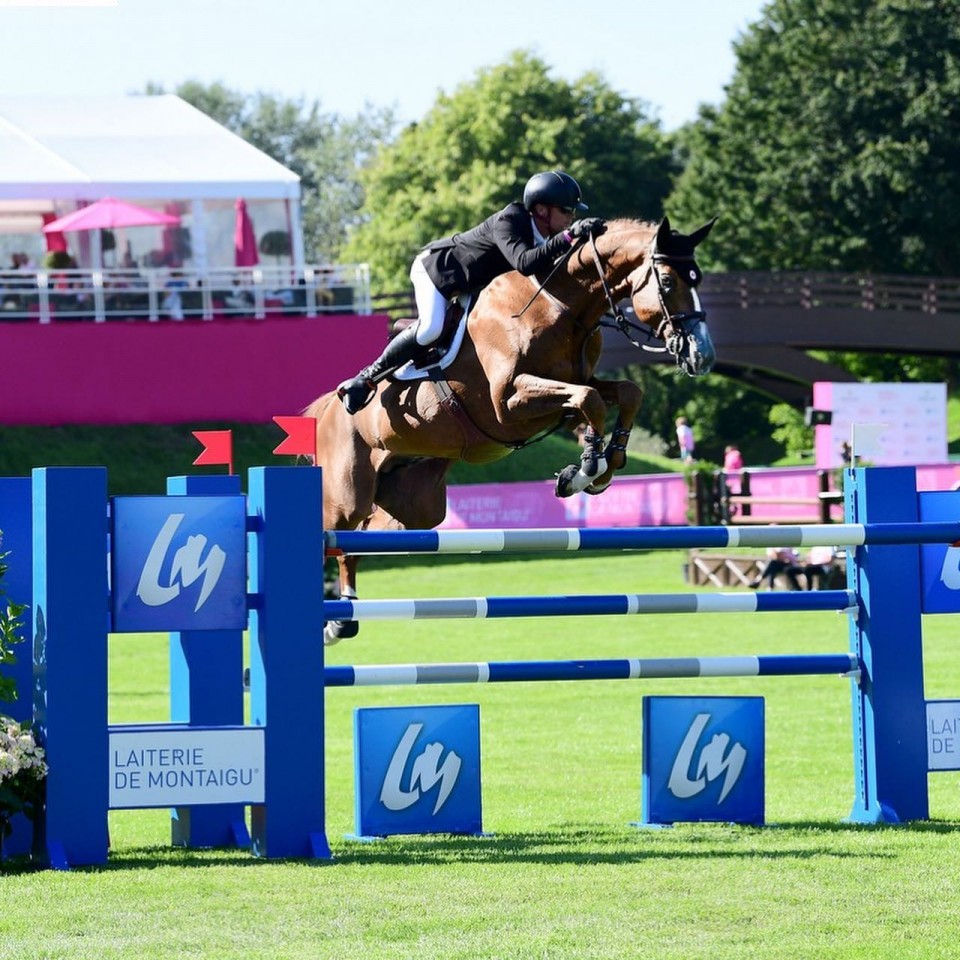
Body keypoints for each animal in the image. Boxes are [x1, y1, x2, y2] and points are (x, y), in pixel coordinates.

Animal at [308, 214, 712, 640]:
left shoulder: (569, 391)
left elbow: (619, 395)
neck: (561, 307)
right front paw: (587, 469)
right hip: (346, 498)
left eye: (698, 278)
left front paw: (600, 465)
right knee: (337, 533)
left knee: (363, 538)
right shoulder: (509, 404)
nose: (702, 355)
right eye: (667, 281)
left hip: (417, 504)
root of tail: (327, 409)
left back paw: (343, 615)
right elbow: (589, 400)